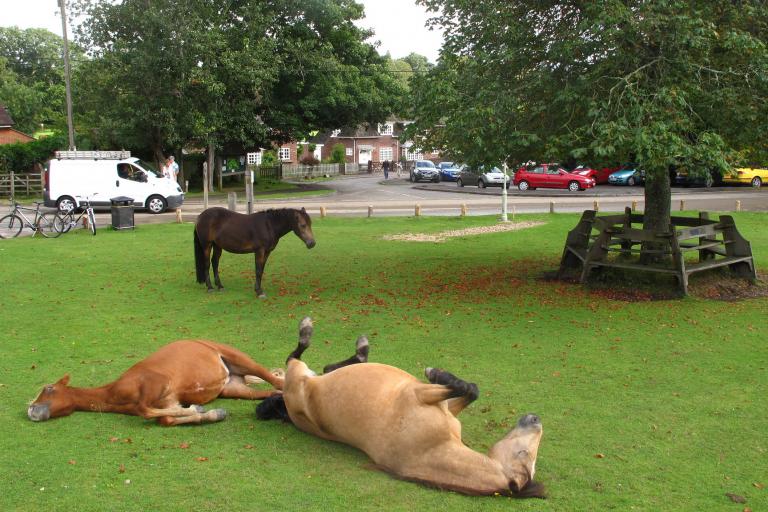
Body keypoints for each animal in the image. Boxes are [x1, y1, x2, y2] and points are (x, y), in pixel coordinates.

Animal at [27, 338, 286, 426]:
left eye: (48, 388)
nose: (31, 409)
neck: (114, 394)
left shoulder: (158, 383)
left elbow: (146, 411)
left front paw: (200, 409)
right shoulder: (168, 402)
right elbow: (166, 418)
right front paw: (210, 413)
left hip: (238, 358)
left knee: (276, 381)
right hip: (233, 388)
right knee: (270, 392)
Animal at [260, 318, 544, 498]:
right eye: (524, 454)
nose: (535, 419)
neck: (431, 448)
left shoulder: (425, 397)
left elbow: (466, 388)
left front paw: (436, 373)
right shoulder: (424, 395)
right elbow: (470, 388)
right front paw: (438, 373)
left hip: (302, 376)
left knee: (313, 362)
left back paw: (338, 340)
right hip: (303, 373)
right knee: (306, 359)